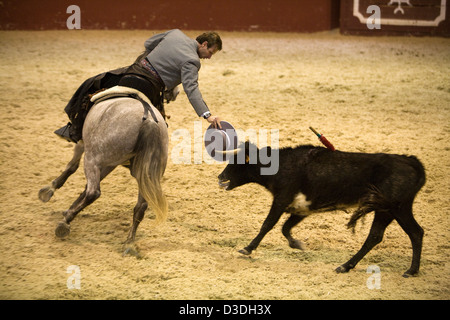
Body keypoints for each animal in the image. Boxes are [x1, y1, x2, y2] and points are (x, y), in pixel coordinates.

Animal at [38, 88, 172, 258]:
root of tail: (148, 121)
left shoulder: (85, 146)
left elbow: (72, 167)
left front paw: (49, 190)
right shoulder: (110, 164)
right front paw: (70, 207)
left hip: (92, 159)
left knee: (93, 192)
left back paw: (65, 223)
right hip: (145, 174)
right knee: (140, 206)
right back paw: (129, 243)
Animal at [218, 141, 426, 276]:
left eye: (238, 162)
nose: (220, 177)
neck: (282, 165)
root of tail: (412, 162)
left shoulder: (281, 200)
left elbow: (268, 224)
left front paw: (247, 248)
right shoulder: (301, 208)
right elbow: (285, 227)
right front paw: (297, 244)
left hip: (394, 208)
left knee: (407, 233)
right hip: (389, 210)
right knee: (390, 235)